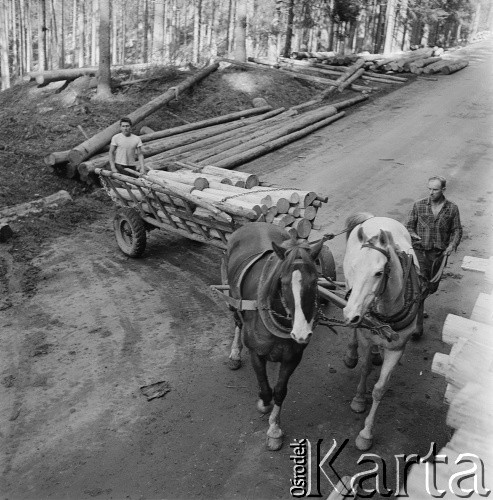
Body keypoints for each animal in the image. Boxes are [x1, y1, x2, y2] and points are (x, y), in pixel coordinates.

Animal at [225, 223, 324, 450]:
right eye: (283, 282)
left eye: (315, 281)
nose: (301, 333)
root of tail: (256, 222)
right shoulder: (256, 352)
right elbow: (264, 384)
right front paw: (264, 403)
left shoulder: (292, 357)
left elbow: (279, 390)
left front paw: (274, 429)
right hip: (233, 297)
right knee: (236, 321)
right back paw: (234, 354)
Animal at [342, 211, 418, 450]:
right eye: (355, 267)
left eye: (378, 273)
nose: (349, 314)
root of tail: (376, 217)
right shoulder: (365, 334)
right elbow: (364, 368)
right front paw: (359, 399)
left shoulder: (397, 348)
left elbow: (380, 389)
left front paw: (366, 433)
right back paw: (351, 353)